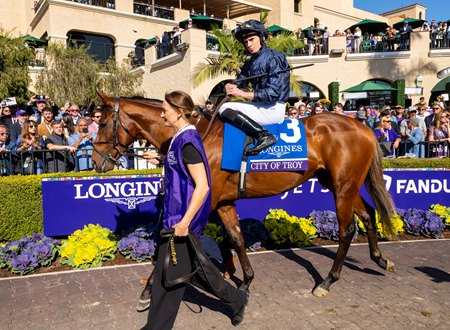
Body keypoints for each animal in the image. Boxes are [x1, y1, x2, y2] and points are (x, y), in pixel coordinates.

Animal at [93, 93, 396, 296]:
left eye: (104, 124)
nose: (96, 161)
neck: (197, 134)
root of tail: (364, 126)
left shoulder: (205, 200)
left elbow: (176, 237)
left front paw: (149, 289)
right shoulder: (224, 202)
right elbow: (236, 239)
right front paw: (246, 280)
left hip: (343, 185)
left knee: (347, 230)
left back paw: (327, 280)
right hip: (339, 183)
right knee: (368, 214)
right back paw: (380, 258)